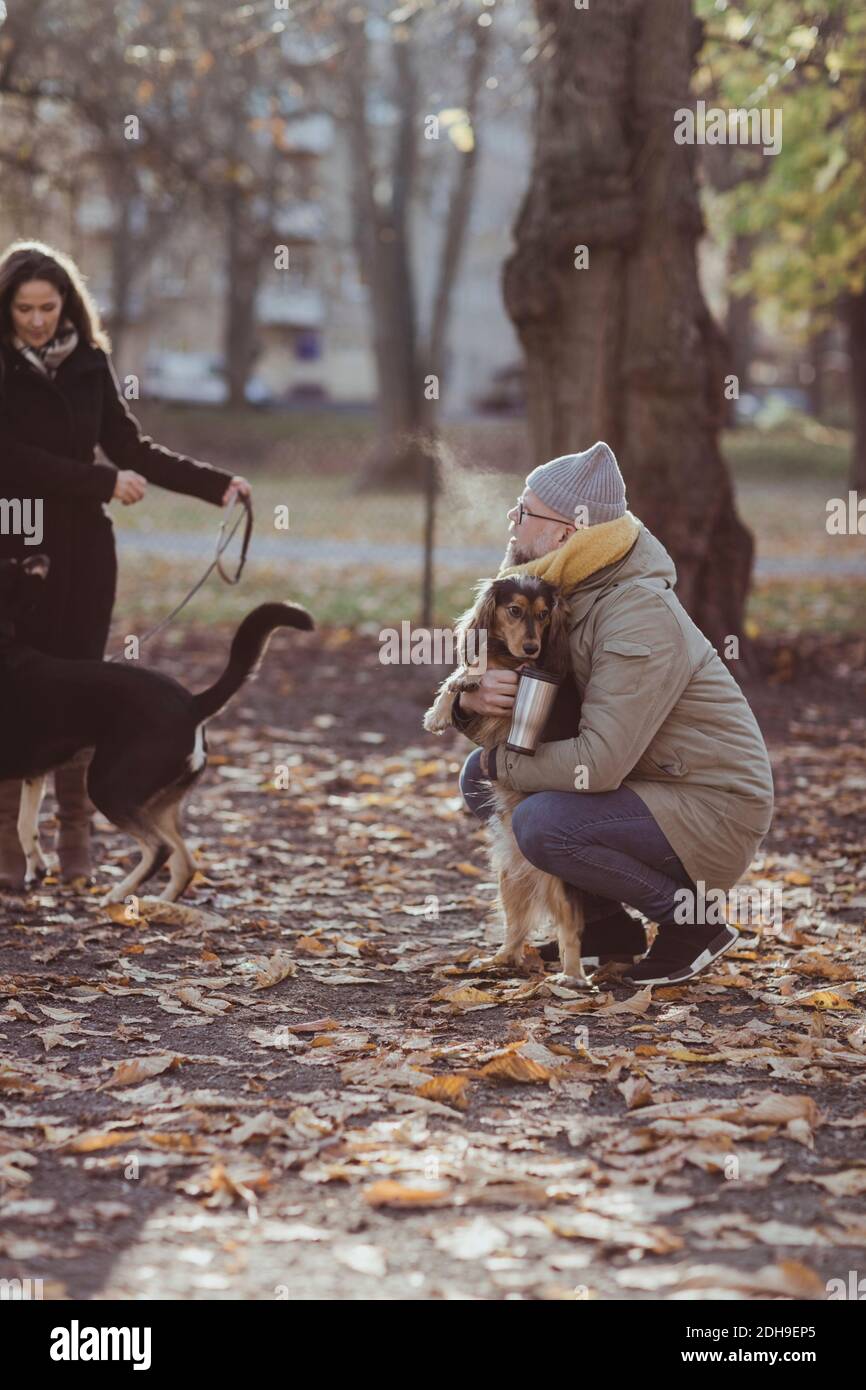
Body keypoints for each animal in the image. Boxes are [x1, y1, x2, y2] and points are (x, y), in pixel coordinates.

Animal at [0, 553, 311, 900]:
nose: (41, 556)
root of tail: (192, 705)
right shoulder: (34, 771)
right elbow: (25, 823)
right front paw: (37, 868)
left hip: (109, 787)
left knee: (160, 849)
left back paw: (116, 897)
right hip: (156, 802)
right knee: (185, 862)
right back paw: (160, 904)